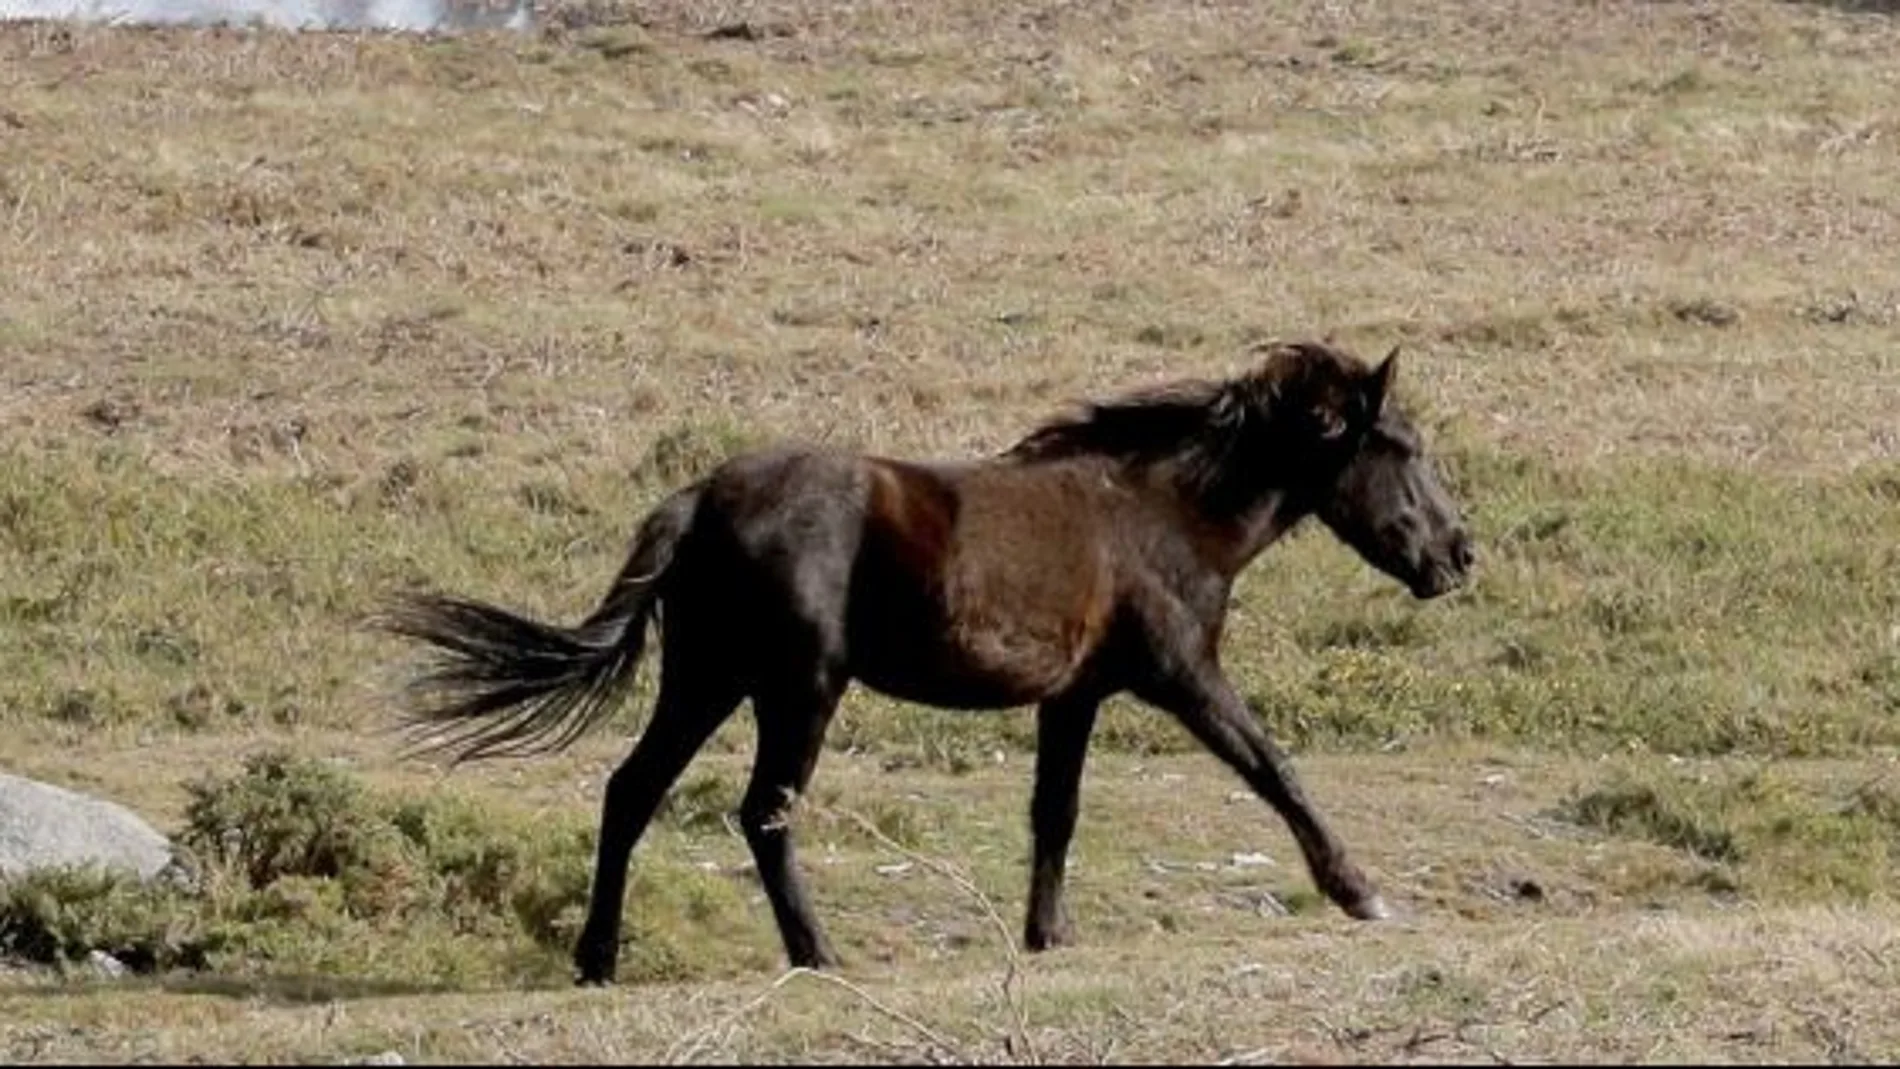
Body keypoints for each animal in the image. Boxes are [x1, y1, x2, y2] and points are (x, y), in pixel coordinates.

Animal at [381, 337, 1466, 979]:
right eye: (1404, 447)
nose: (1459, 554)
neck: (1159, 512)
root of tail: (701, 498)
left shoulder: (1075, 696)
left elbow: (1055, 812)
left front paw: (1048, 935)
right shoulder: (1182, 676)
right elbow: (1275, 768)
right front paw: (1360, 892)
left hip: (707, 679)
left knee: (630, 791)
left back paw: (598, 960)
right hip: (796, 689)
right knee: (760, 812)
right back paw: (819, 954)